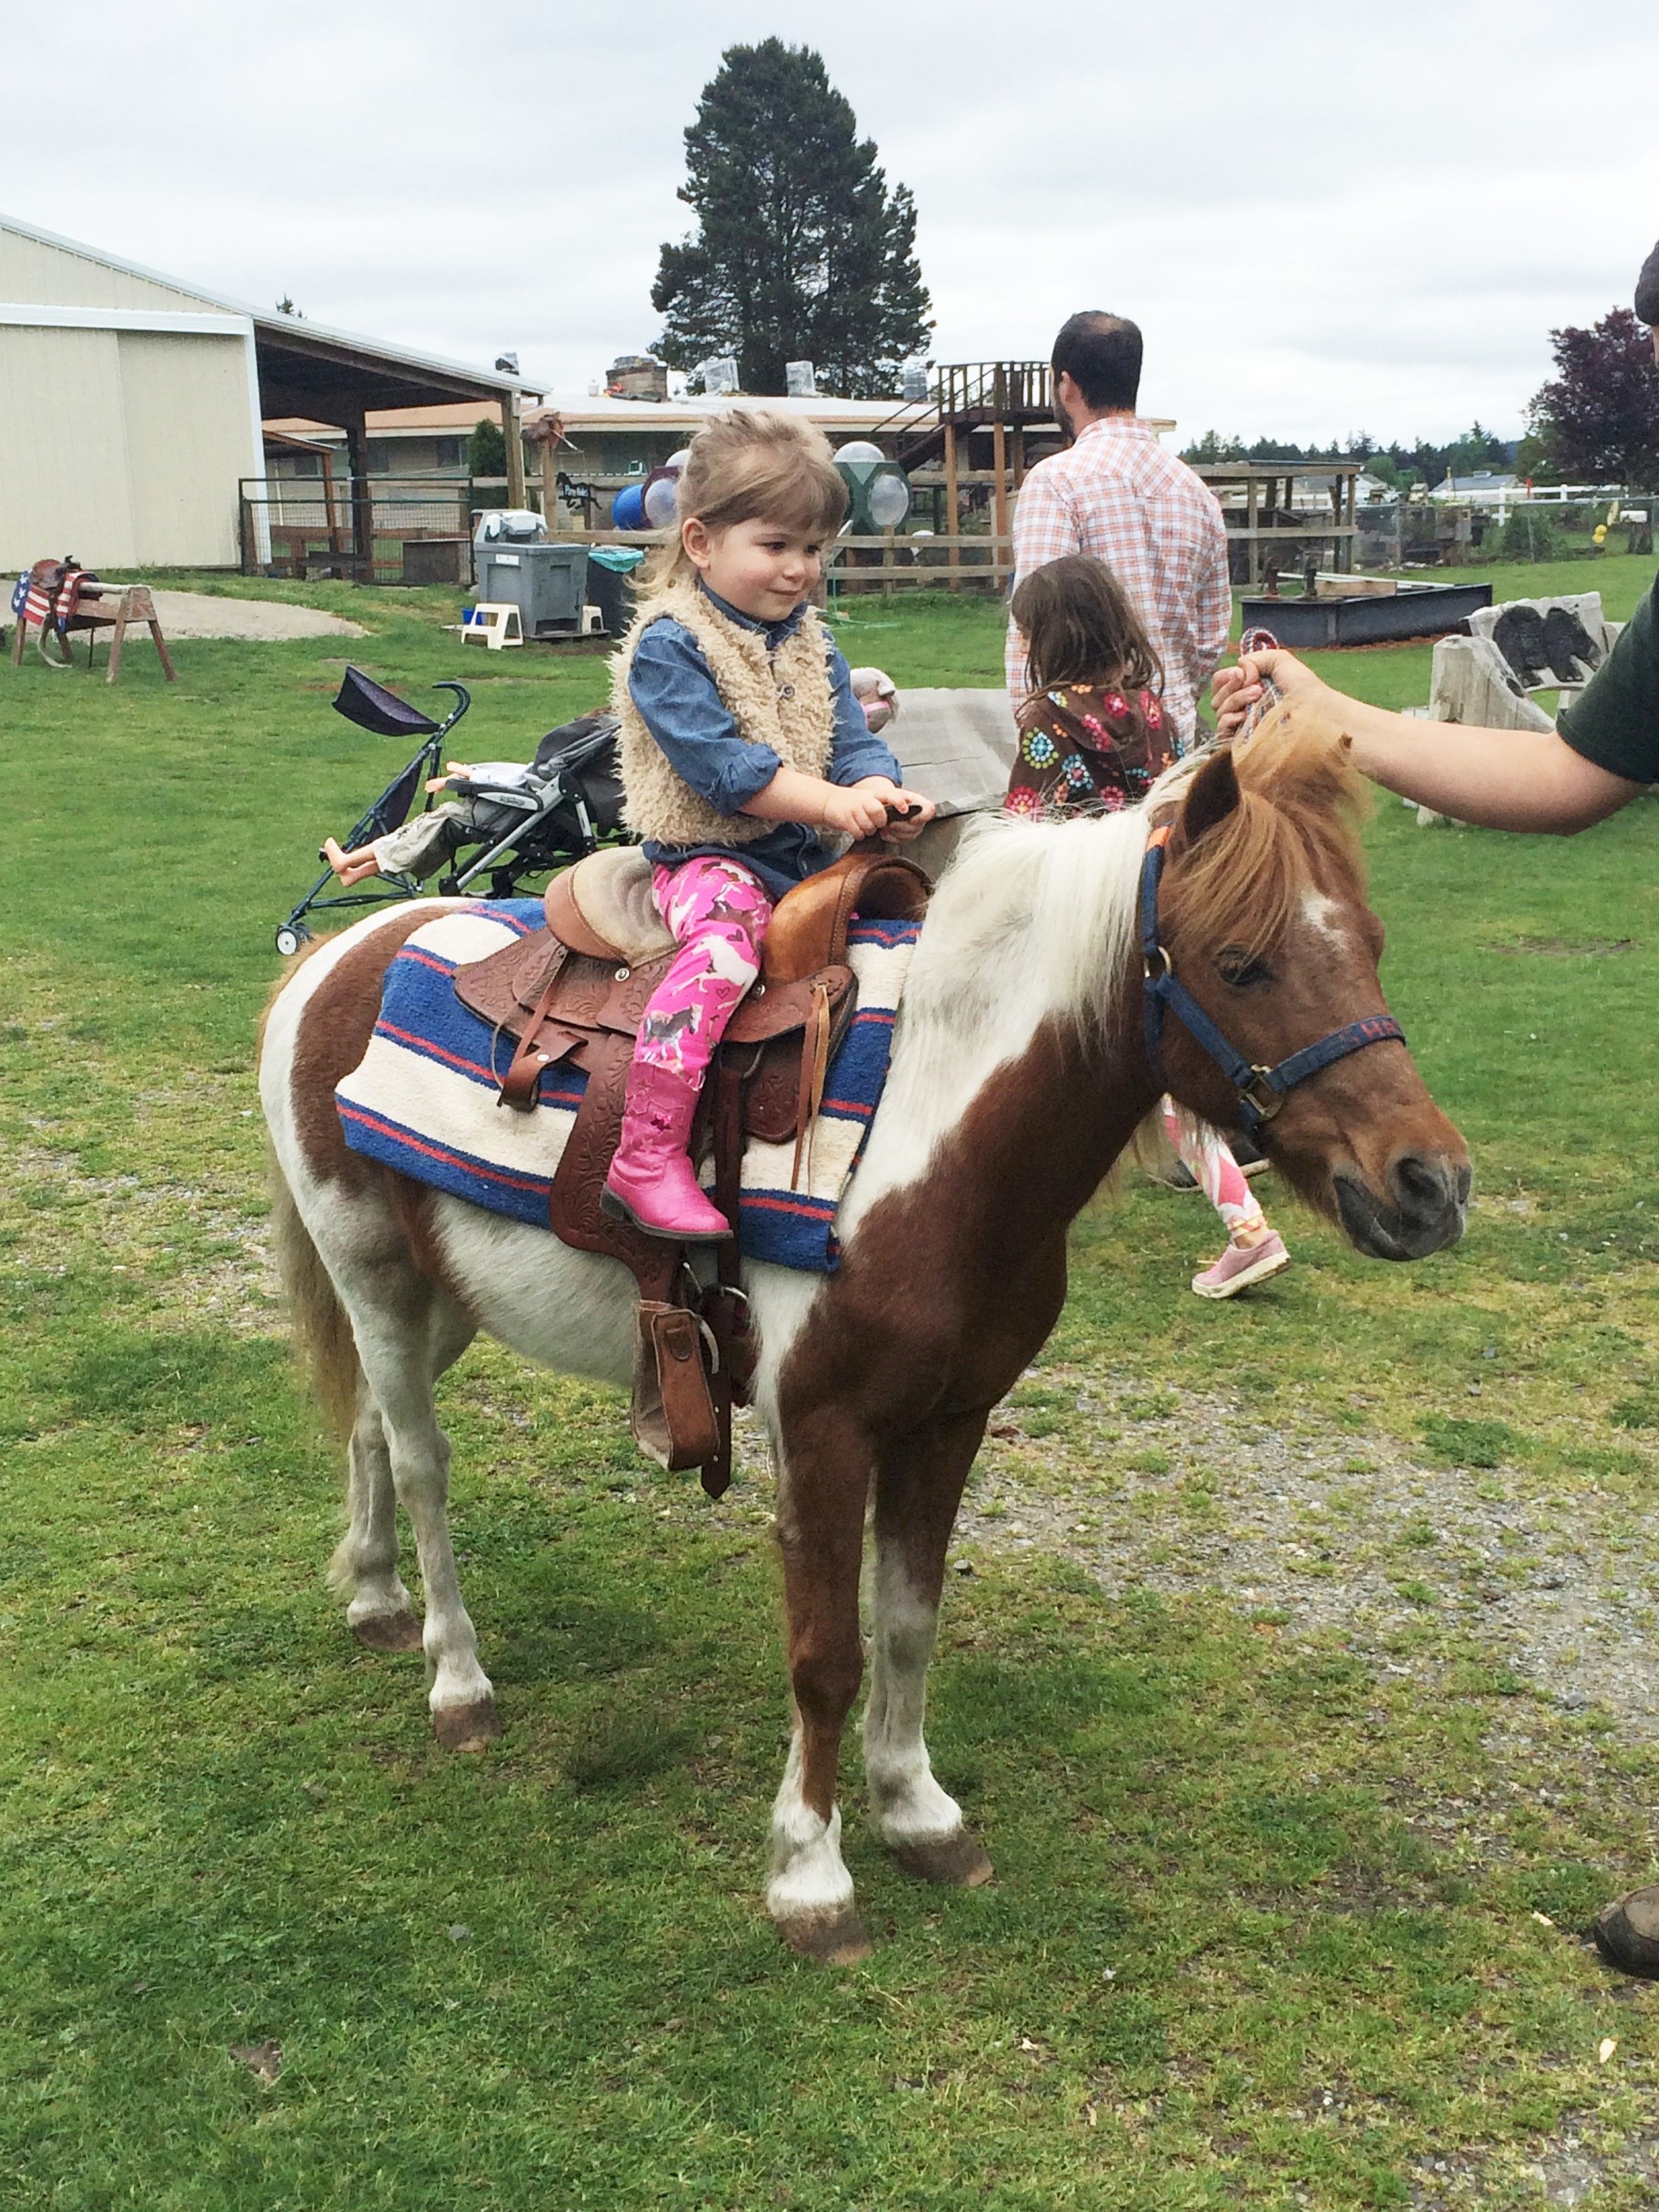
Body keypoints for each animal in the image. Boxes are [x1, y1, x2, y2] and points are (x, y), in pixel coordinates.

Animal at [256, 708, 1469, 1955]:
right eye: (1240, 962)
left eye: (1370, 942)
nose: (1428, 1185)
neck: (930, 1131)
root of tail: (339, 952)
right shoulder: (823, 1427)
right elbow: (826, 1653)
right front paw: (810, 1872)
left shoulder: (949, 1420)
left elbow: (908, 1621)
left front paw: (917, 1810)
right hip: (373, 1272)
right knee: (420, 1459)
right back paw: (457, 1680)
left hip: (437, 1296)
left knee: (365, 1427)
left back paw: (375, 1597)